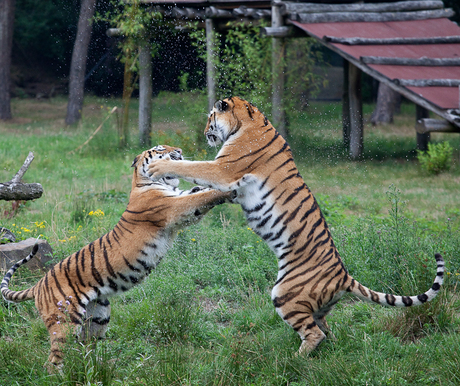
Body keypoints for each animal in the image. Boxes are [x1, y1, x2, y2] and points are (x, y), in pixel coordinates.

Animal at [0, 146, 234, 370]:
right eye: (160, 148)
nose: (180, 151)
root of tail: (38, 284)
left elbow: (199, 192)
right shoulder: (177, 208)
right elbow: (202, 197)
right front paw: (230, 188)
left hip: (98, 316)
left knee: (84, 349)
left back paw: (95, 371)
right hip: (64, 320)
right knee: (53, 360)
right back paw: (64, 376)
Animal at [146, 97, 444, 356]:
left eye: (211, 116)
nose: (205, 131)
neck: (248, 120)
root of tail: (344, 277)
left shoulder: (224, 169)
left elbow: (194, 166)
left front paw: (160, 167)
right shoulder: (232, 185)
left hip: (285, 294)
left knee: (314, 334)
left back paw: (294, 359)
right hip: (316, 307)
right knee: (326, 330)